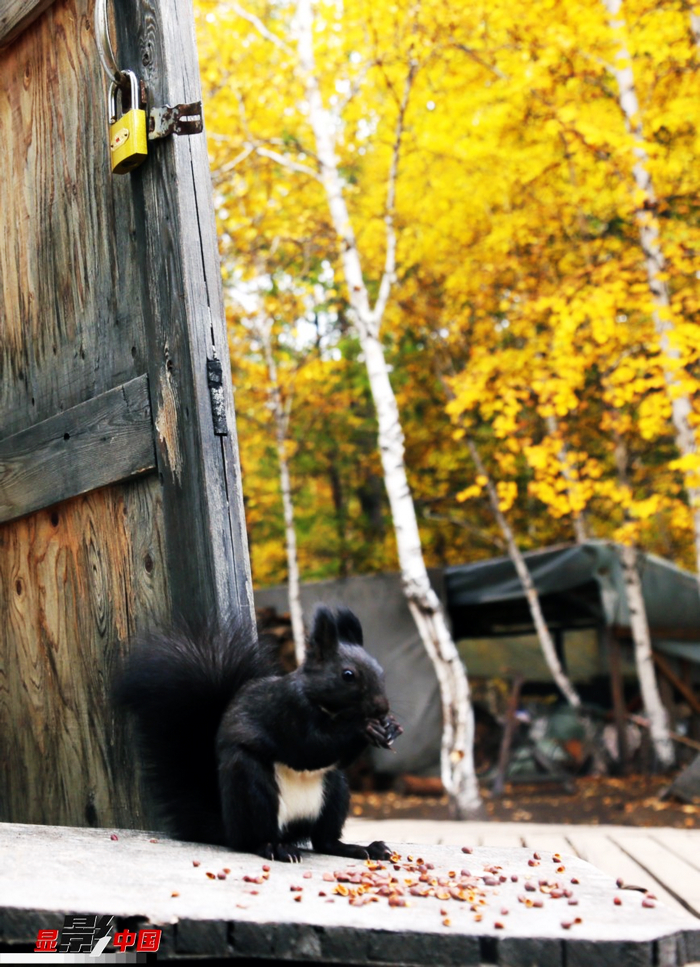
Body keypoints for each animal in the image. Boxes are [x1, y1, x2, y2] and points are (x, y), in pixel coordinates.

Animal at [113, 604, 402, 864]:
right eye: (348, 675)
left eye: (381, 671)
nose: (382, 707)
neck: (327, 707)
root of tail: (229, 828)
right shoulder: (286, 713)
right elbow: (310, 749)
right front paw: (364, 727)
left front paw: (390, 726)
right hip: (251, 787)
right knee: (254, 839)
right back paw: (275, 848)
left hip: (335, 791)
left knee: (325, 841)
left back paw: (363, 848)